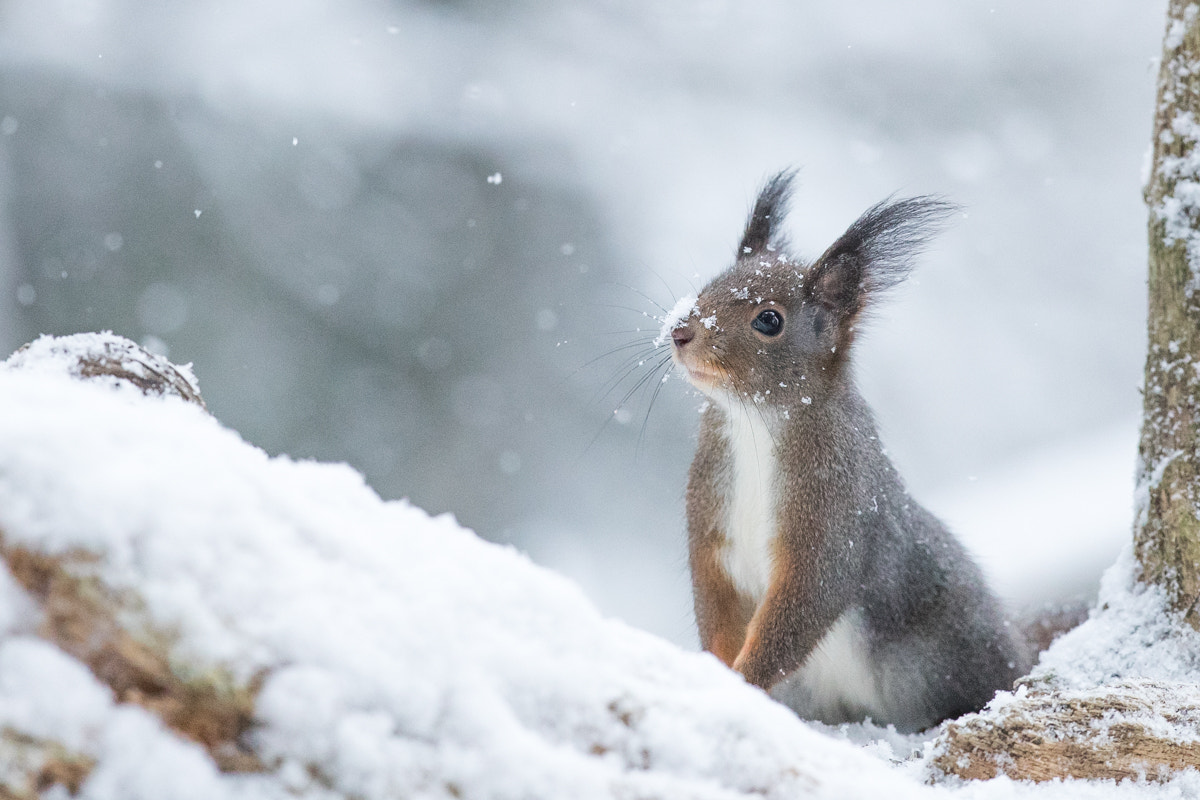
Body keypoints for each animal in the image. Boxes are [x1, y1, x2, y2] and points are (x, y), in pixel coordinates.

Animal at [667, 172, 1022, 734]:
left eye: (769, 320)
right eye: (704, 289)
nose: (680, 332)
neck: (755, 427)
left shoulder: (834, 517)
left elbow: (801, 609)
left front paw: (740, 682)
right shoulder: (711, 523)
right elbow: (715, 604)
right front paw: (712, 670)